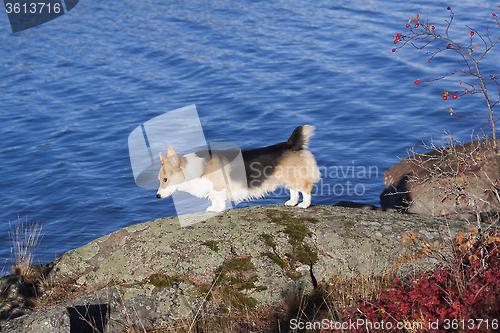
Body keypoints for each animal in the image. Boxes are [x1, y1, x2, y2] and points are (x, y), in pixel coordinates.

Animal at [155, 123, 320, 211]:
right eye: (159, 179)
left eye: (165, 179)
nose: (157, 196)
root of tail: (291, 143)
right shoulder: (211, 189)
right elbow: (213, 199)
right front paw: (211, 208)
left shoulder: (218, 187)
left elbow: (219, 200)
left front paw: (217, 209)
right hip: (287, 178)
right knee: (294, 190)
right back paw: (292, 202)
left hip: (296, 178)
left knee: (306, 189)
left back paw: (304, 205)